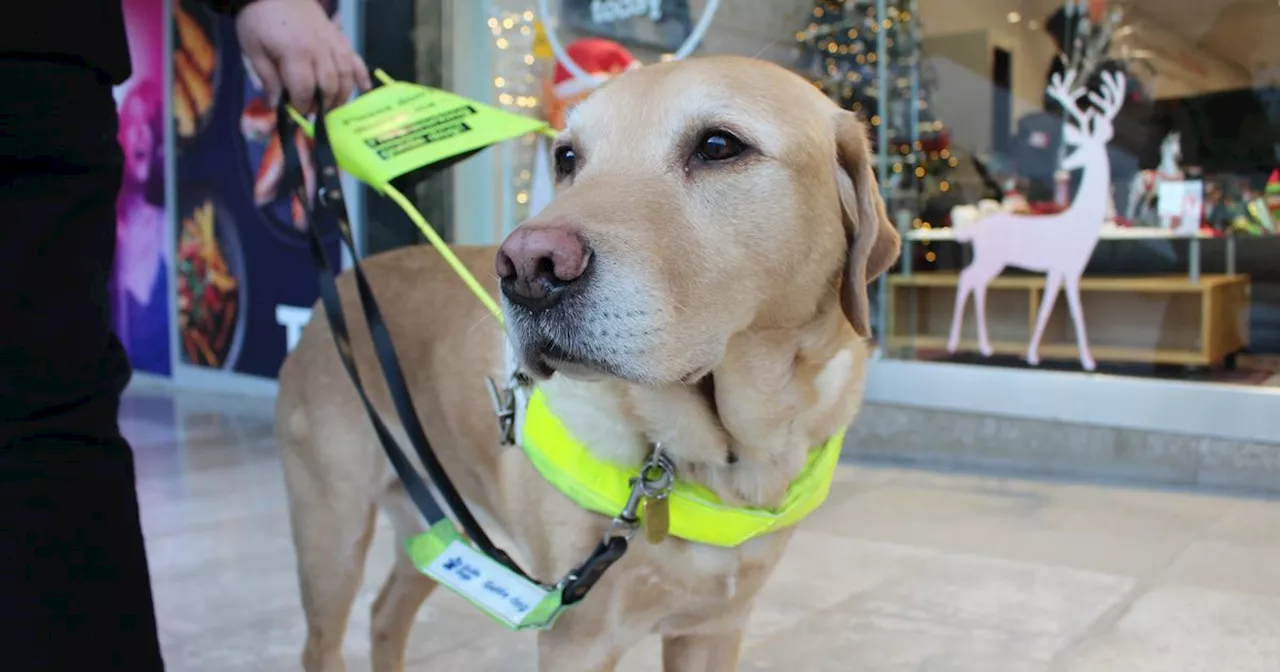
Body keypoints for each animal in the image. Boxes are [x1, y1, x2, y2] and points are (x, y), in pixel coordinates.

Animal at [277, 55, 901, 665]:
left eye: (719, 146)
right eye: (567, 157)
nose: (526, 269)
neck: (722, 453)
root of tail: (342, 284)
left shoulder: (714, 629)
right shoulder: (575, 638)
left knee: (385, 614)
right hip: (332, 533)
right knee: (323, 641)